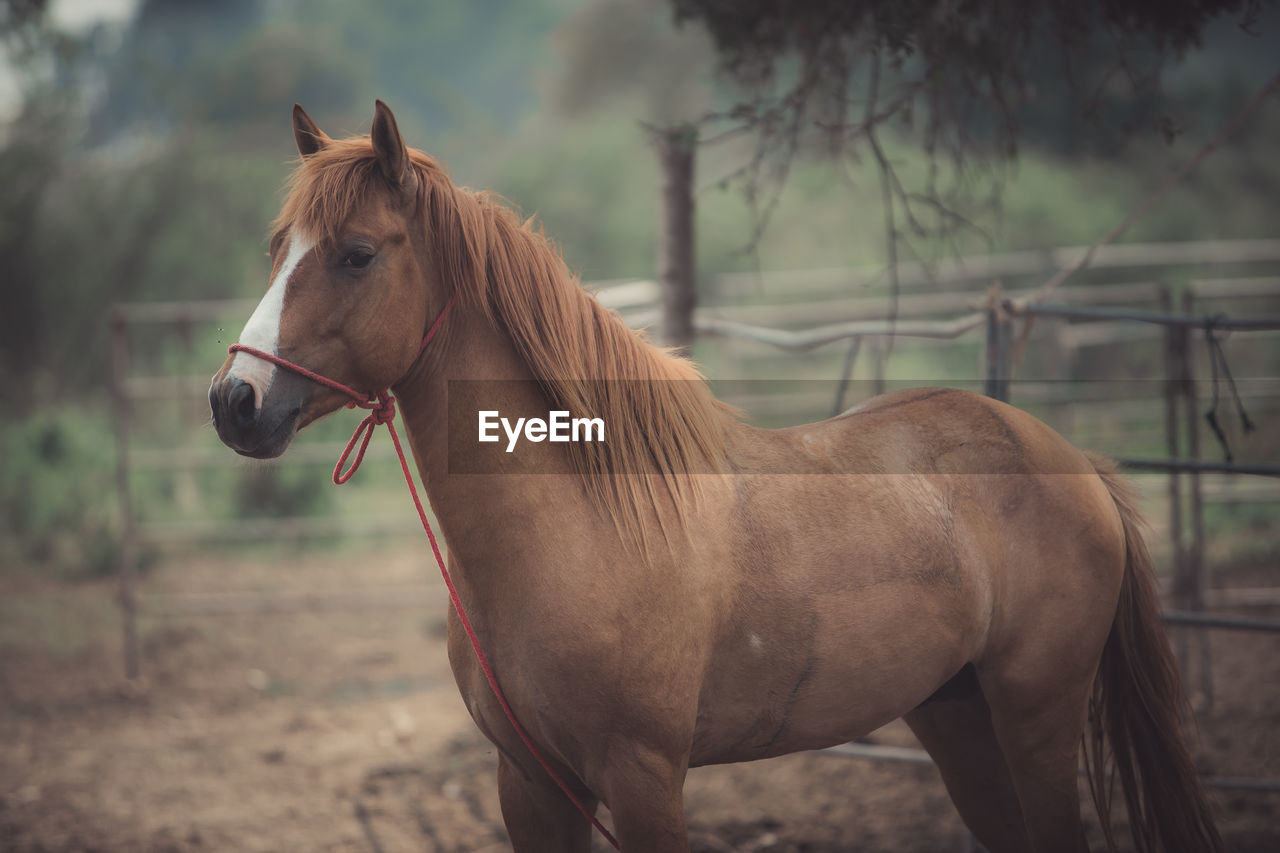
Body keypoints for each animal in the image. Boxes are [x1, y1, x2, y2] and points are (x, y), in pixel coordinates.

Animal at [207, 103, 1218, 845]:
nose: (234, 401)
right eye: (276, 248)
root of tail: (1075, 462)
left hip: (1036, 718)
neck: (576, 529)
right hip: (959, 718)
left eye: (356, 254)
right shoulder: (531, 784)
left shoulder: (645, 780)